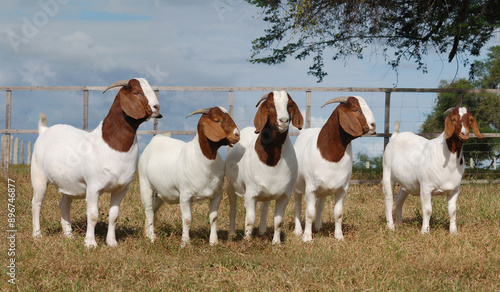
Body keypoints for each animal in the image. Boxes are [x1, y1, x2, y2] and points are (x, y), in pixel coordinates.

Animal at [30, 77, 162, 246]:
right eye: (137, 92)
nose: (157, 107)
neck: (109, 144)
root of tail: (44, 130)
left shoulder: (121, 189)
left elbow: (114, 216)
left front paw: (112, 242)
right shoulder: (93, 187)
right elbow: (93, 215)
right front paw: (90, 243)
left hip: (68, 183)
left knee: (64, 205)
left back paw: (68, 235)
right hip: (38, 175)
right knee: (36, 203)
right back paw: (37, 235)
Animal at [137, 106, 238, 245]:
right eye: (217, 120)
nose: (237, 135)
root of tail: (156, 139)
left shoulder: (217, 194)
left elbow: (213, 217)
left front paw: (213, 242)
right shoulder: (185, 195)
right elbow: (187, 219)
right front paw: (185, 243)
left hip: (160, 193)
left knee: (153, 210)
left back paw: (147, 235)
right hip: (145, 184)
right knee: (148, 210)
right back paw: (152, 238)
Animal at [225, 90, 302, 244]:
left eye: (290, 105)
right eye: (271, 105)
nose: (284, 121)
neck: (272, 162)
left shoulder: (284, 195)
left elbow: (278, 221)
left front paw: (276, 243)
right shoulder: (251, 194)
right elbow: (249, 220)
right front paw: (247, 242)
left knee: (264, 208)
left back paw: (262, 231)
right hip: (230, 186)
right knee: (233, 208)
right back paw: (231, 233)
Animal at [292, 96, 376, 242]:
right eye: (356, 110)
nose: (373, 125)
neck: (329, 154)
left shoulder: (342, 189)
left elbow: (338, 213)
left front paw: (339, 236)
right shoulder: (310, 188)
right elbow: (309, 213)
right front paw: (307, 237)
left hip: (324, 190)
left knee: (320, 205)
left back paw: (318, 226)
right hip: (298, 185)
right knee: (297, 205)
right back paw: (298, 230)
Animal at [382, 106, 484, 234]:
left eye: (470, 119)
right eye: (453, 119)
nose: (464, 134)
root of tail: (395, 137)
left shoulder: (454, 189)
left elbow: (453, 210)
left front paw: (453, 231)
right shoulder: (426, 187)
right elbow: (427, 210)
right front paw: (425, 231)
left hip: (407, 183)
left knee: (399, 199)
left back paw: (400, 224)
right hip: (387, 174)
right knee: (389, 200)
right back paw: (391, 226)